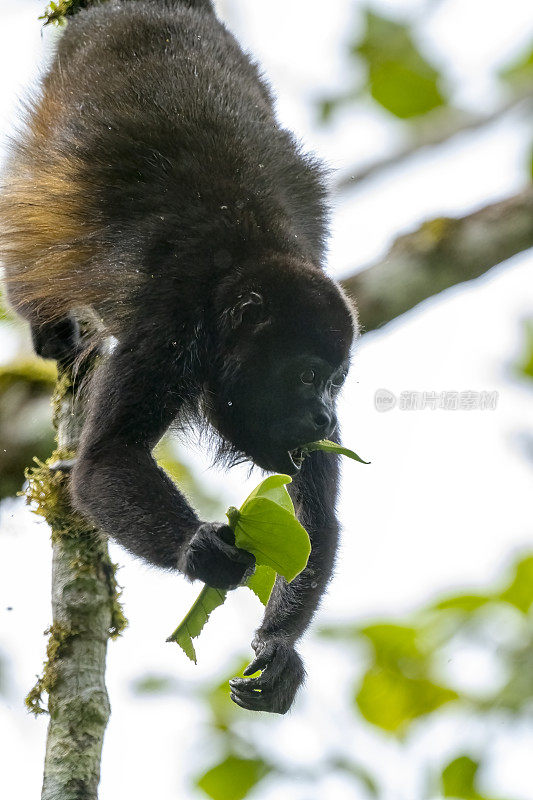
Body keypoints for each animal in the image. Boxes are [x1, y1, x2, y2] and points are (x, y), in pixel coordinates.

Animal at [1, 0, 358, 712]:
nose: (325, 419)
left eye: (334, 383)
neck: (233, 282)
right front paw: (202, 553)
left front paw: (278, 646)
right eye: (305, 375)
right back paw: (50, 327)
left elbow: (316, 517)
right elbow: (106, 460)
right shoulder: (165, 329)